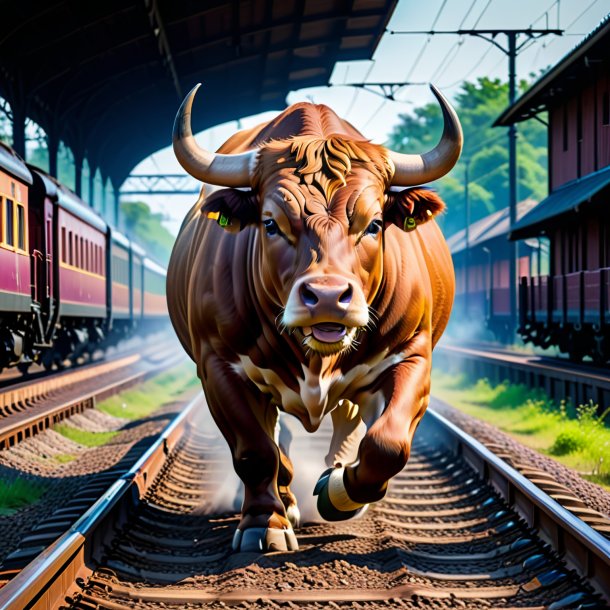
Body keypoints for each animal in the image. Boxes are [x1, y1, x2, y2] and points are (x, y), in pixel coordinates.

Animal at [166, 85, 460, 552]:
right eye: (270, 223)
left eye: (374, 223)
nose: (326, 297)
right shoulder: (218, 366)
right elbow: (256, 451)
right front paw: (264, 522)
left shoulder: (412, 354)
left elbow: (387, 444)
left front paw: (338, 493)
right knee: (279, 442)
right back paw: (287, 499)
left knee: (350, 426)